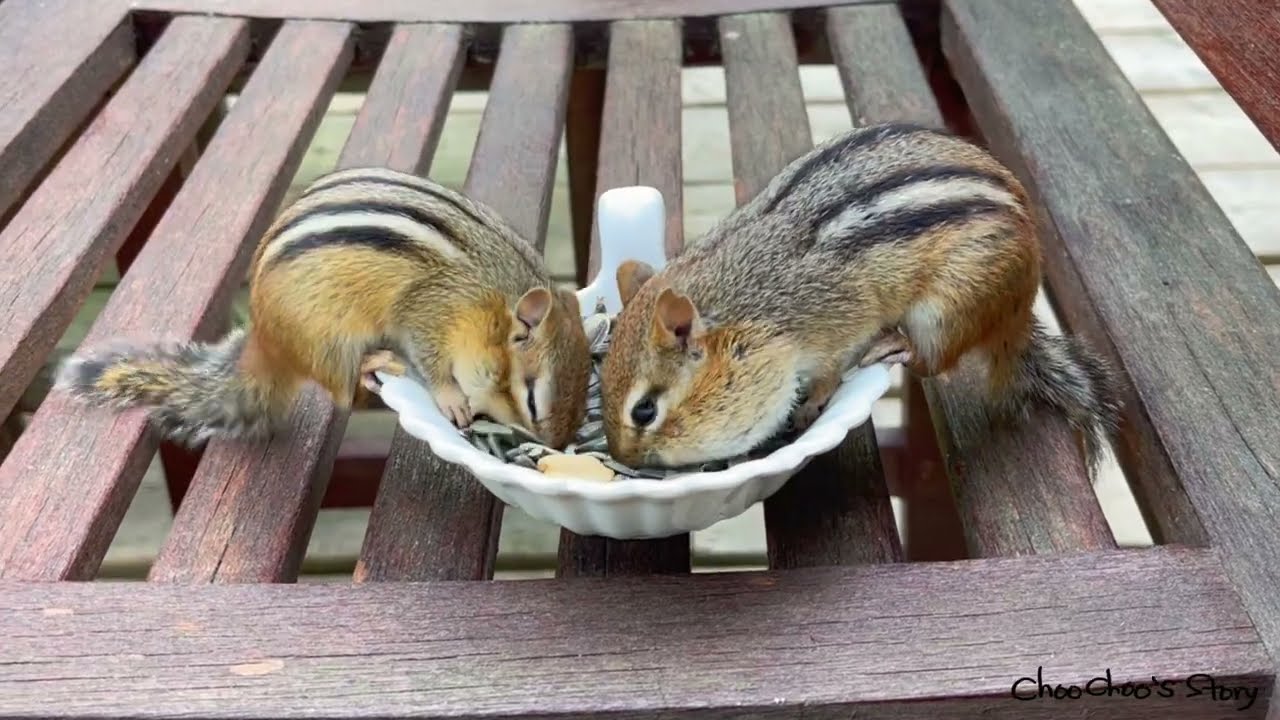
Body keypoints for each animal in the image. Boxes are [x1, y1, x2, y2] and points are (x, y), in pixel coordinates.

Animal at [56, 166, 593, 450]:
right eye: (532, 399)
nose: (553, 447)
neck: (494, 300)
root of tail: (265, 335)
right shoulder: (431, 310)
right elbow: (434, 361)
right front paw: (452, 399)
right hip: (329, 337)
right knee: (342, 389)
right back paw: (374, 363)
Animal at [600, 122, 1121, 473]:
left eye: (644, 411)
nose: (623, 457)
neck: (746, 308)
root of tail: (1016, 315)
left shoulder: (835, 328)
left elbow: (830, 374)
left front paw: (810, 406)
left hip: (947, 309)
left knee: (934, 361)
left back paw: (897, 346)